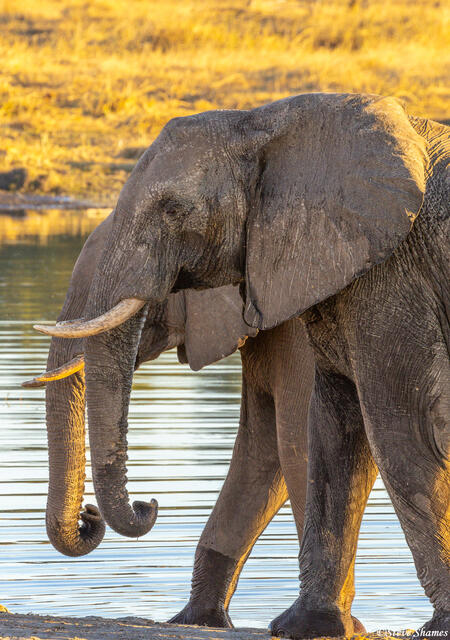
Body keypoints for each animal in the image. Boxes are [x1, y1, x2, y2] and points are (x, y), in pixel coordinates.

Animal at [34, 92, 449, 638]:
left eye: (173, 209)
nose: (144, 504)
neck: (272, 122)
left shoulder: (382, 280)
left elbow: (368, 433)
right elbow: (293, 441)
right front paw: (212, 622)